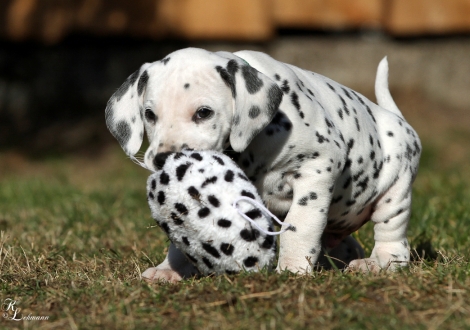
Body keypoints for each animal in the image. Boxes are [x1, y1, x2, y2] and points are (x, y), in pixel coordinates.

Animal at [106, 47, 422, 282]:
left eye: (204, 112)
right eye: (149, 114)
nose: (163, 159)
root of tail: (399, 121)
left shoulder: (317, 168)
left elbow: (300, 225)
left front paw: (293, 269)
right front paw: (168, 269)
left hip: (395, 195)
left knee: (393, 239)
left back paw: (377, 263)